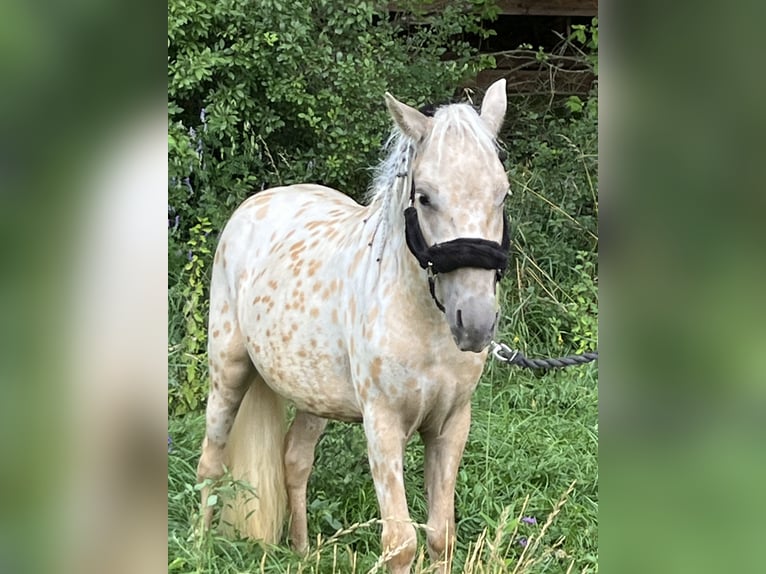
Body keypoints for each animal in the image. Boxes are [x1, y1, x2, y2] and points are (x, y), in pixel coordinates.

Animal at [195, 79, 512, 572]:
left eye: (502, 194)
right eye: (424, 196)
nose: (475, 322)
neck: (423, 324)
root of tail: (255, 204)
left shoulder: (451, 425)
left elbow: (441, 536)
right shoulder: (382, 426)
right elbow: (401, 542)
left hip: (313, 393)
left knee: (294, 459)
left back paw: (302, 550)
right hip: (227, 369)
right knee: (210, 461)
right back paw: (198, 546)